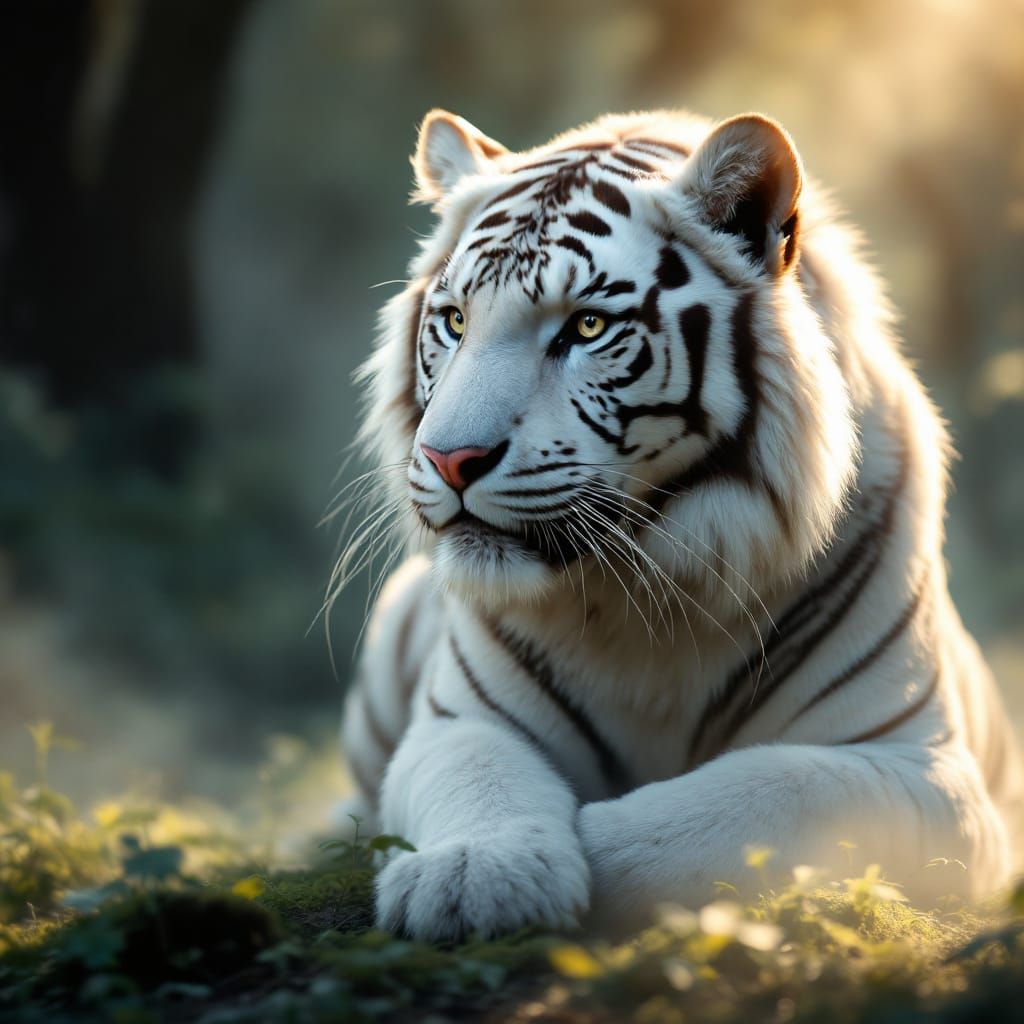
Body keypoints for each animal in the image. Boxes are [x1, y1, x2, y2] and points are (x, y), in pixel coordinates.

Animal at [335, 108, 1024, 941]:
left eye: (587, 326)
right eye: (456, 321)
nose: (449, 459)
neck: (647, 590)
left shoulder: (925, 772)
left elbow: (774, 790)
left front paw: (601, 840)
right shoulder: (456, 720)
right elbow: (476, 774)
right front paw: (473, 874)